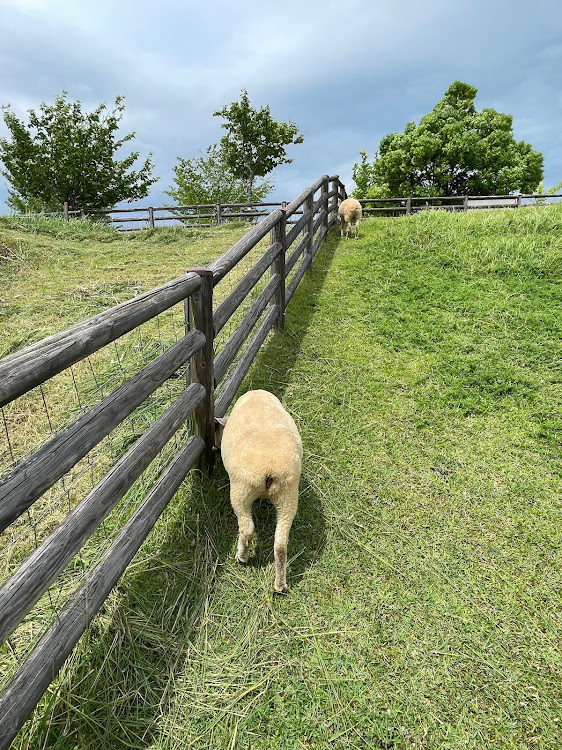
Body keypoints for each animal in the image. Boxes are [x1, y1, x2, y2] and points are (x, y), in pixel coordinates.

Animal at [214, 390, 302, 596]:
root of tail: (269, 471)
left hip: (241, 490)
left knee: (247, 529)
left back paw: (242, 557)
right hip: (288, 494)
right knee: (280, 544)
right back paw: (280, 585)